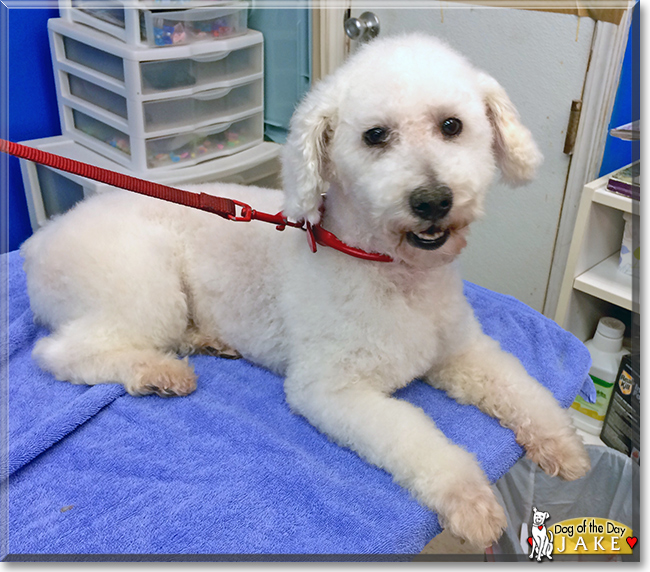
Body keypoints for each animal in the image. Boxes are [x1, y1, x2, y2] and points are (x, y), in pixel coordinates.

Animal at [20, 34, 588, 544]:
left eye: (452, 125)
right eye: (375, 135)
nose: (432, 199)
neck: (393, 272)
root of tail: (39, 242)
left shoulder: (463, 351)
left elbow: (523, 391)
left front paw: (563, 447)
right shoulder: (331, 390)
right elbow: (418, 440)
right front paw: (470, 501)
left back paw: (205, 341)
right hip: (143, 285)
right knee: (62, 353)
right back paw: (156, 371)